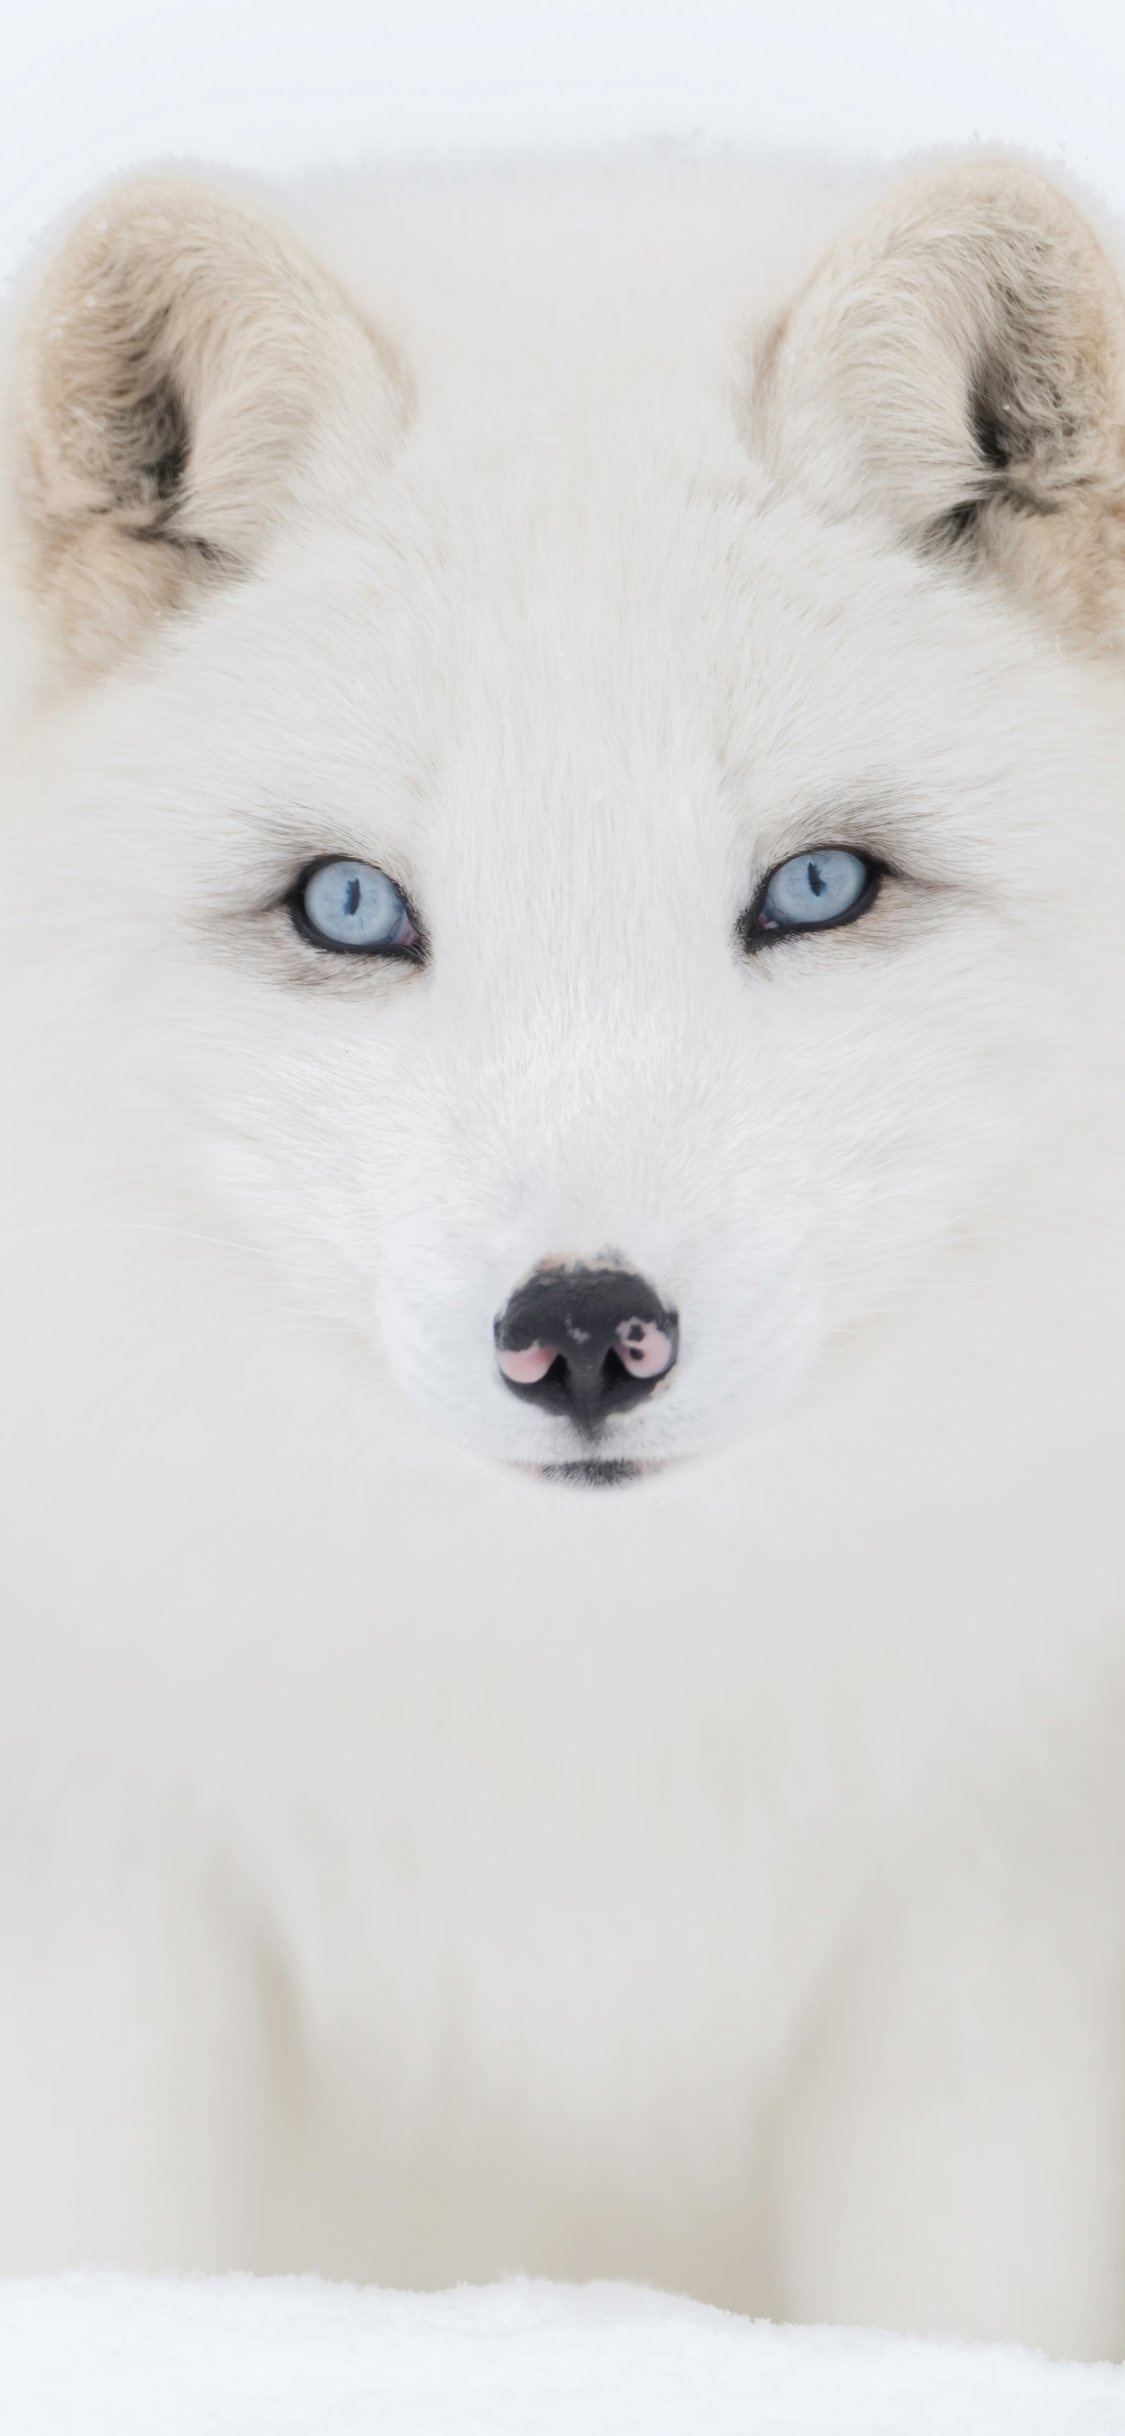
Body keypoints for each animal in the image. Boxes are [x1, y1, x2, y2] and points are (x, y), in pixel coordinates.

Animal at [2, 142, 1125, 2348]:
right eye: (351, 906)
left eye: (815, 887)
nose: (588, 1332)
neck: (576, 1735)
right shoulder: (104, 1892)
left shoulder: (989, 1929)